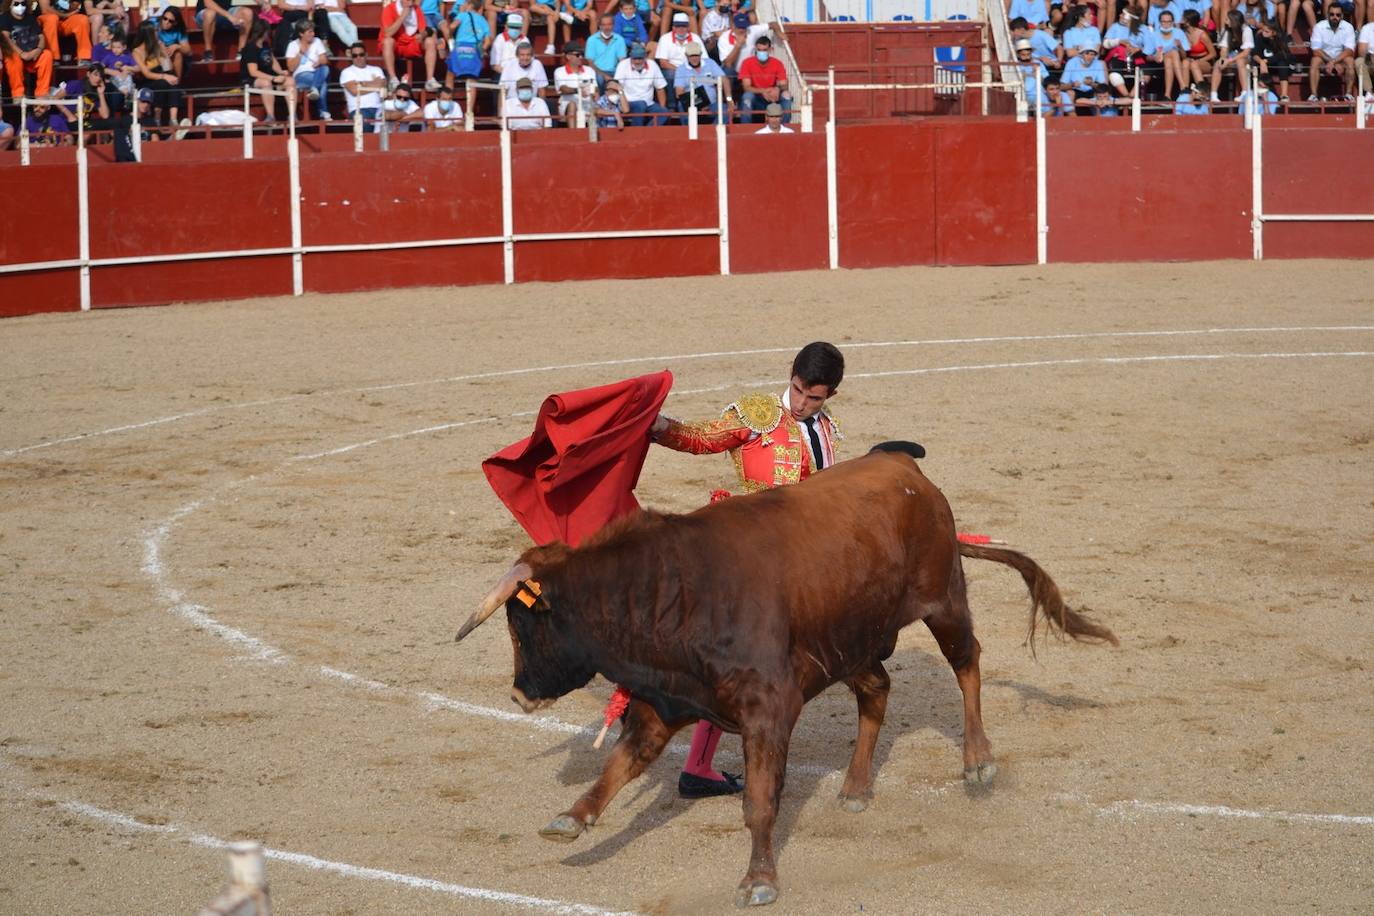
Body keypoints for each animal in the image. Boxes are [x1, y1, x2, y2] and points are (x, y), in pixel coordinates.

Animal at [456, 444, 1121, 911]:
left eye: (523, 624)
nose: (518, 693)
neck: (673, 592)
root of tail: (909, 470)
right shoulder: (664, 704)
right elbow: (618, 767)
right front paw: (570, 819)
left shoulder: (768, 710)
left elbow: (758, 800)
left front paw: (759, 881)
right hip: (851, 642)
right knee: (878, 691)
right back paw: (855, 787)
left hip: (943, 600)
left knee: (967, 663)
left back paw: (978, 761)